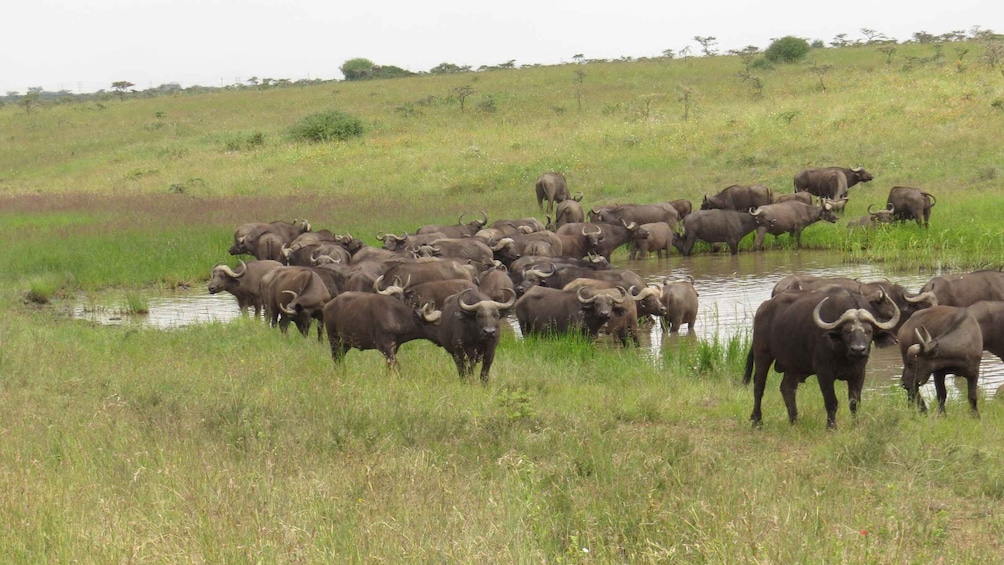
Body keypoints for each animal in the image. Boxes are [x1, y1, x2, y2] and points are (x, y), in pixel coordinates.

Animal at [746, 287, 903, 429]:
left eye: (869, 331)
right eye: (846, 331)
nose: (858, 349)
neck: (844, 355)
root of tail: (763, 308)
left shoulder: (859, 373)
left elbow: (854, 402)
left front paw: (856, 425)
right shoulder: (824, 373)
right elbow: (831, 401)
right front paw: (831, 426)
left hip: (792, 365)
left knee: (787, 388)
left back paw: (794, 421)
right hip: (762, 355)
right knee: (759, 386)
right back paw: (757, 420)